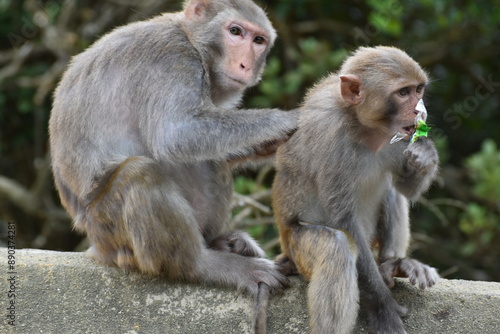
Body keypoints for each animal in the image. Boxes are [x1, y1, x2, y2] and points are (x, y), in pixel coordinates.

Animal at [49, 0, 296, 300]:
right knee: (138, 173)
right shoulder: (171, 58)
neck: (190, 38)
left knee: (211, 161)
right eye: (235, 31)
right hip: (110, 232)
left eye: (258, 40)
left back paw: (221, 242)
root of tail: (96, 244)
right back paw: (207, 264)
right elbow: (175, 133)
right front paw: (285, 120)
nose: (245, 64)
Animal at [272, 46, 440, 334]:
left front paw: (425, 151)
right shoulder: (330, 136)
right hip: (296, 249)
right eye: (403, 93)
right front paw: (383, 308)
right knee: (336, 246)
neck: (364, 127)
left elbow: (405, 187)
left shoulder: (399, 138)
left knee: (391, 190)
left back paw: (394, 264)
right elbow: (344, 221)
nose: (419, 112)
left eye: (418, 90)